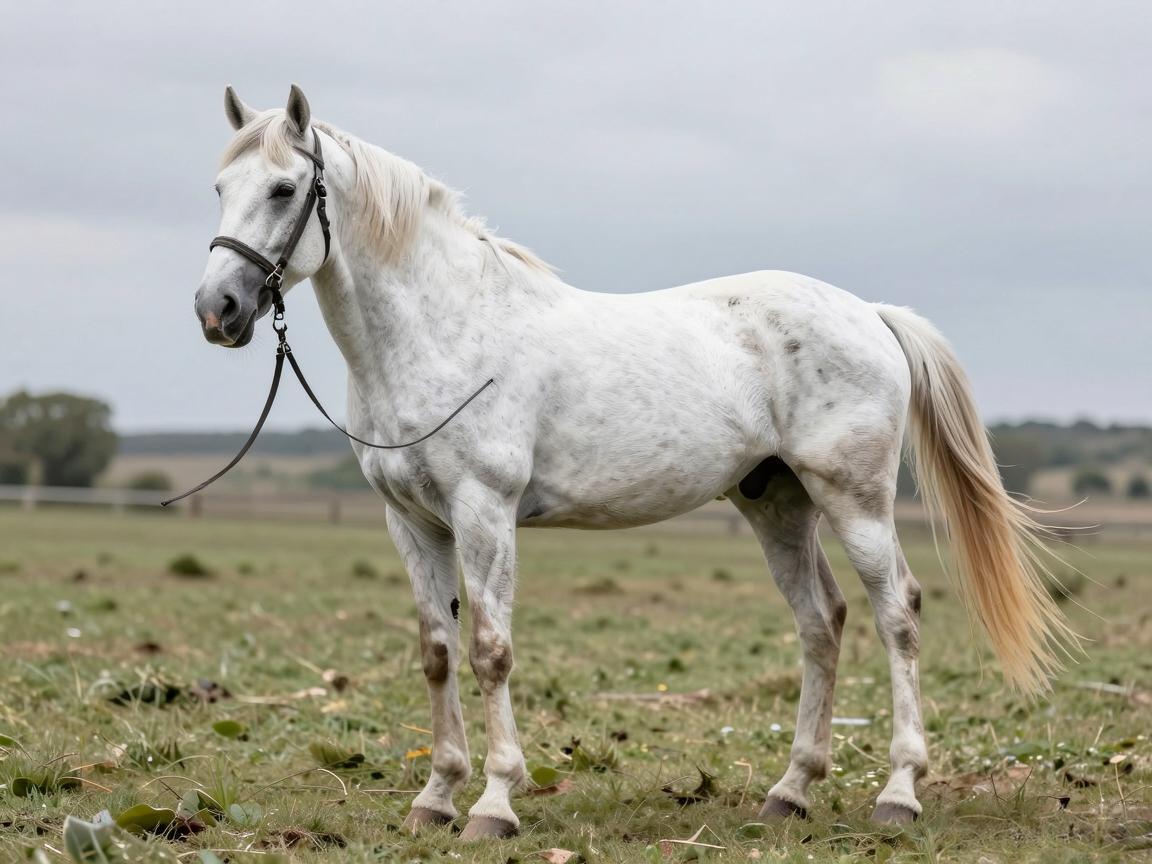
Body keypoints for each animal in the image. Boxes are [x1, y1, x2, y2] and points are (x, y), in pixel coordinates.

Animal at [192, 85, 1077, 840]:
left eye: (283, 190)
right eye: (219, 188)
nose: (216, 310)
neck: (444, 329)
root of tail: (870, 313)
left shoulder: (484, 511)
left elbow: (490, 650)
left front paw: (495, 803)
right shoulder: (410, 521)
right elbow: (438, 654)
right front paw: (435, 798)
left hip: (854, 500)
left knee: (899, 614)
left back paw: (898, 794)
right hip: (776, 503)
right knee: (821, 622)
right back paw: (789, 791)